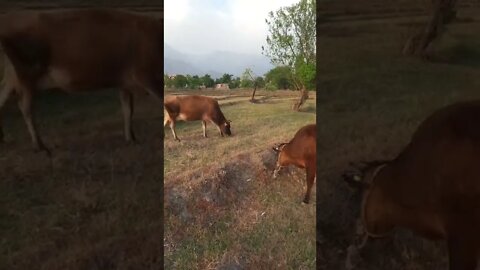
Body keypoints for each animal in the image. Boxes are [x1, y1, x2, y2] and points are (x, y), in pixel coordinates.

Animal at [0, 9, 163, 153]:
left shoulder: (124, 83)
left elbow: (128, 110)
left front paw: (131, 139)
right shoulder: (146, 75)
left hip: (12, 77)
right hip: (27, 75)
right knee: (25, 108)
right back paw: (40, 146)